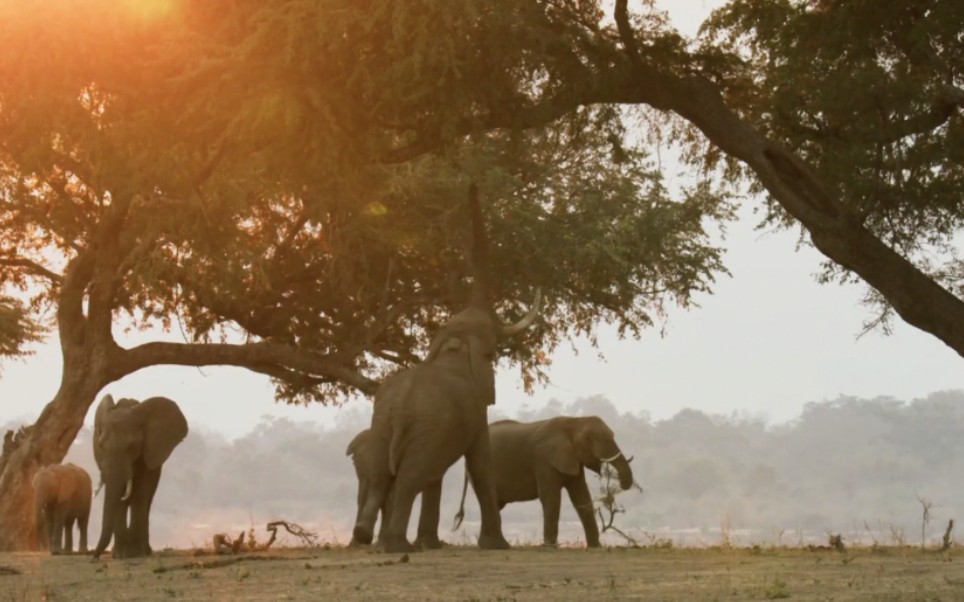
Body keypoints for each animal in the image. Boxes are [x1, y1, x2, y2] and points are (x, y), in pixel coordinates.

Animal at [92, 394, 188, 556]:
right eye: (100, 446)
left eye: (131, 447)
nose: (94, 557)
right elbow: (120, 498)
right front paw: (122, 555)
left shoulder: (149, 452)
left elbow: (141, 493)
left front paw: (135, 553)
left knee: (146, 500)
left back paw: (145, 551)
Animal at [456, 414, 636, 548]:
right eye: (589, 439)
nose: (621, 484)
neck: (574, 421)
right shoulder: (543, 458)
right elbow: (551, 497)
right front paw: (550, 546)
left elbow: (581, 496)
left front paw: (595, 546)